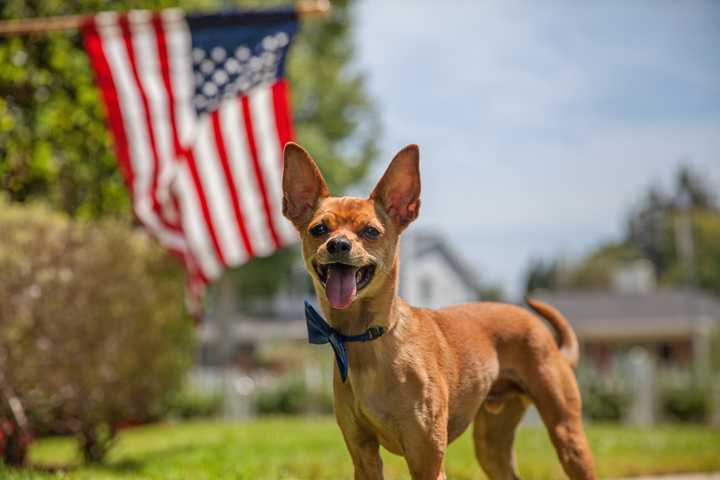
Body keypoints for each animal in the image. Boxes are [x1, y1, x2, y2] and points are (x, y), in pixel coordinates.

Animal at [282, 143, 596, 480]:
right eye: (319, 229)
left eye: (371, 231)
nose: (338, 244)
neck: (367, 340)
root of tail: (541, 330)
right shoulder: (363, 457)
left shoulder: (427, 460)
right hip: (491, 446)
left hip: (567, 436)